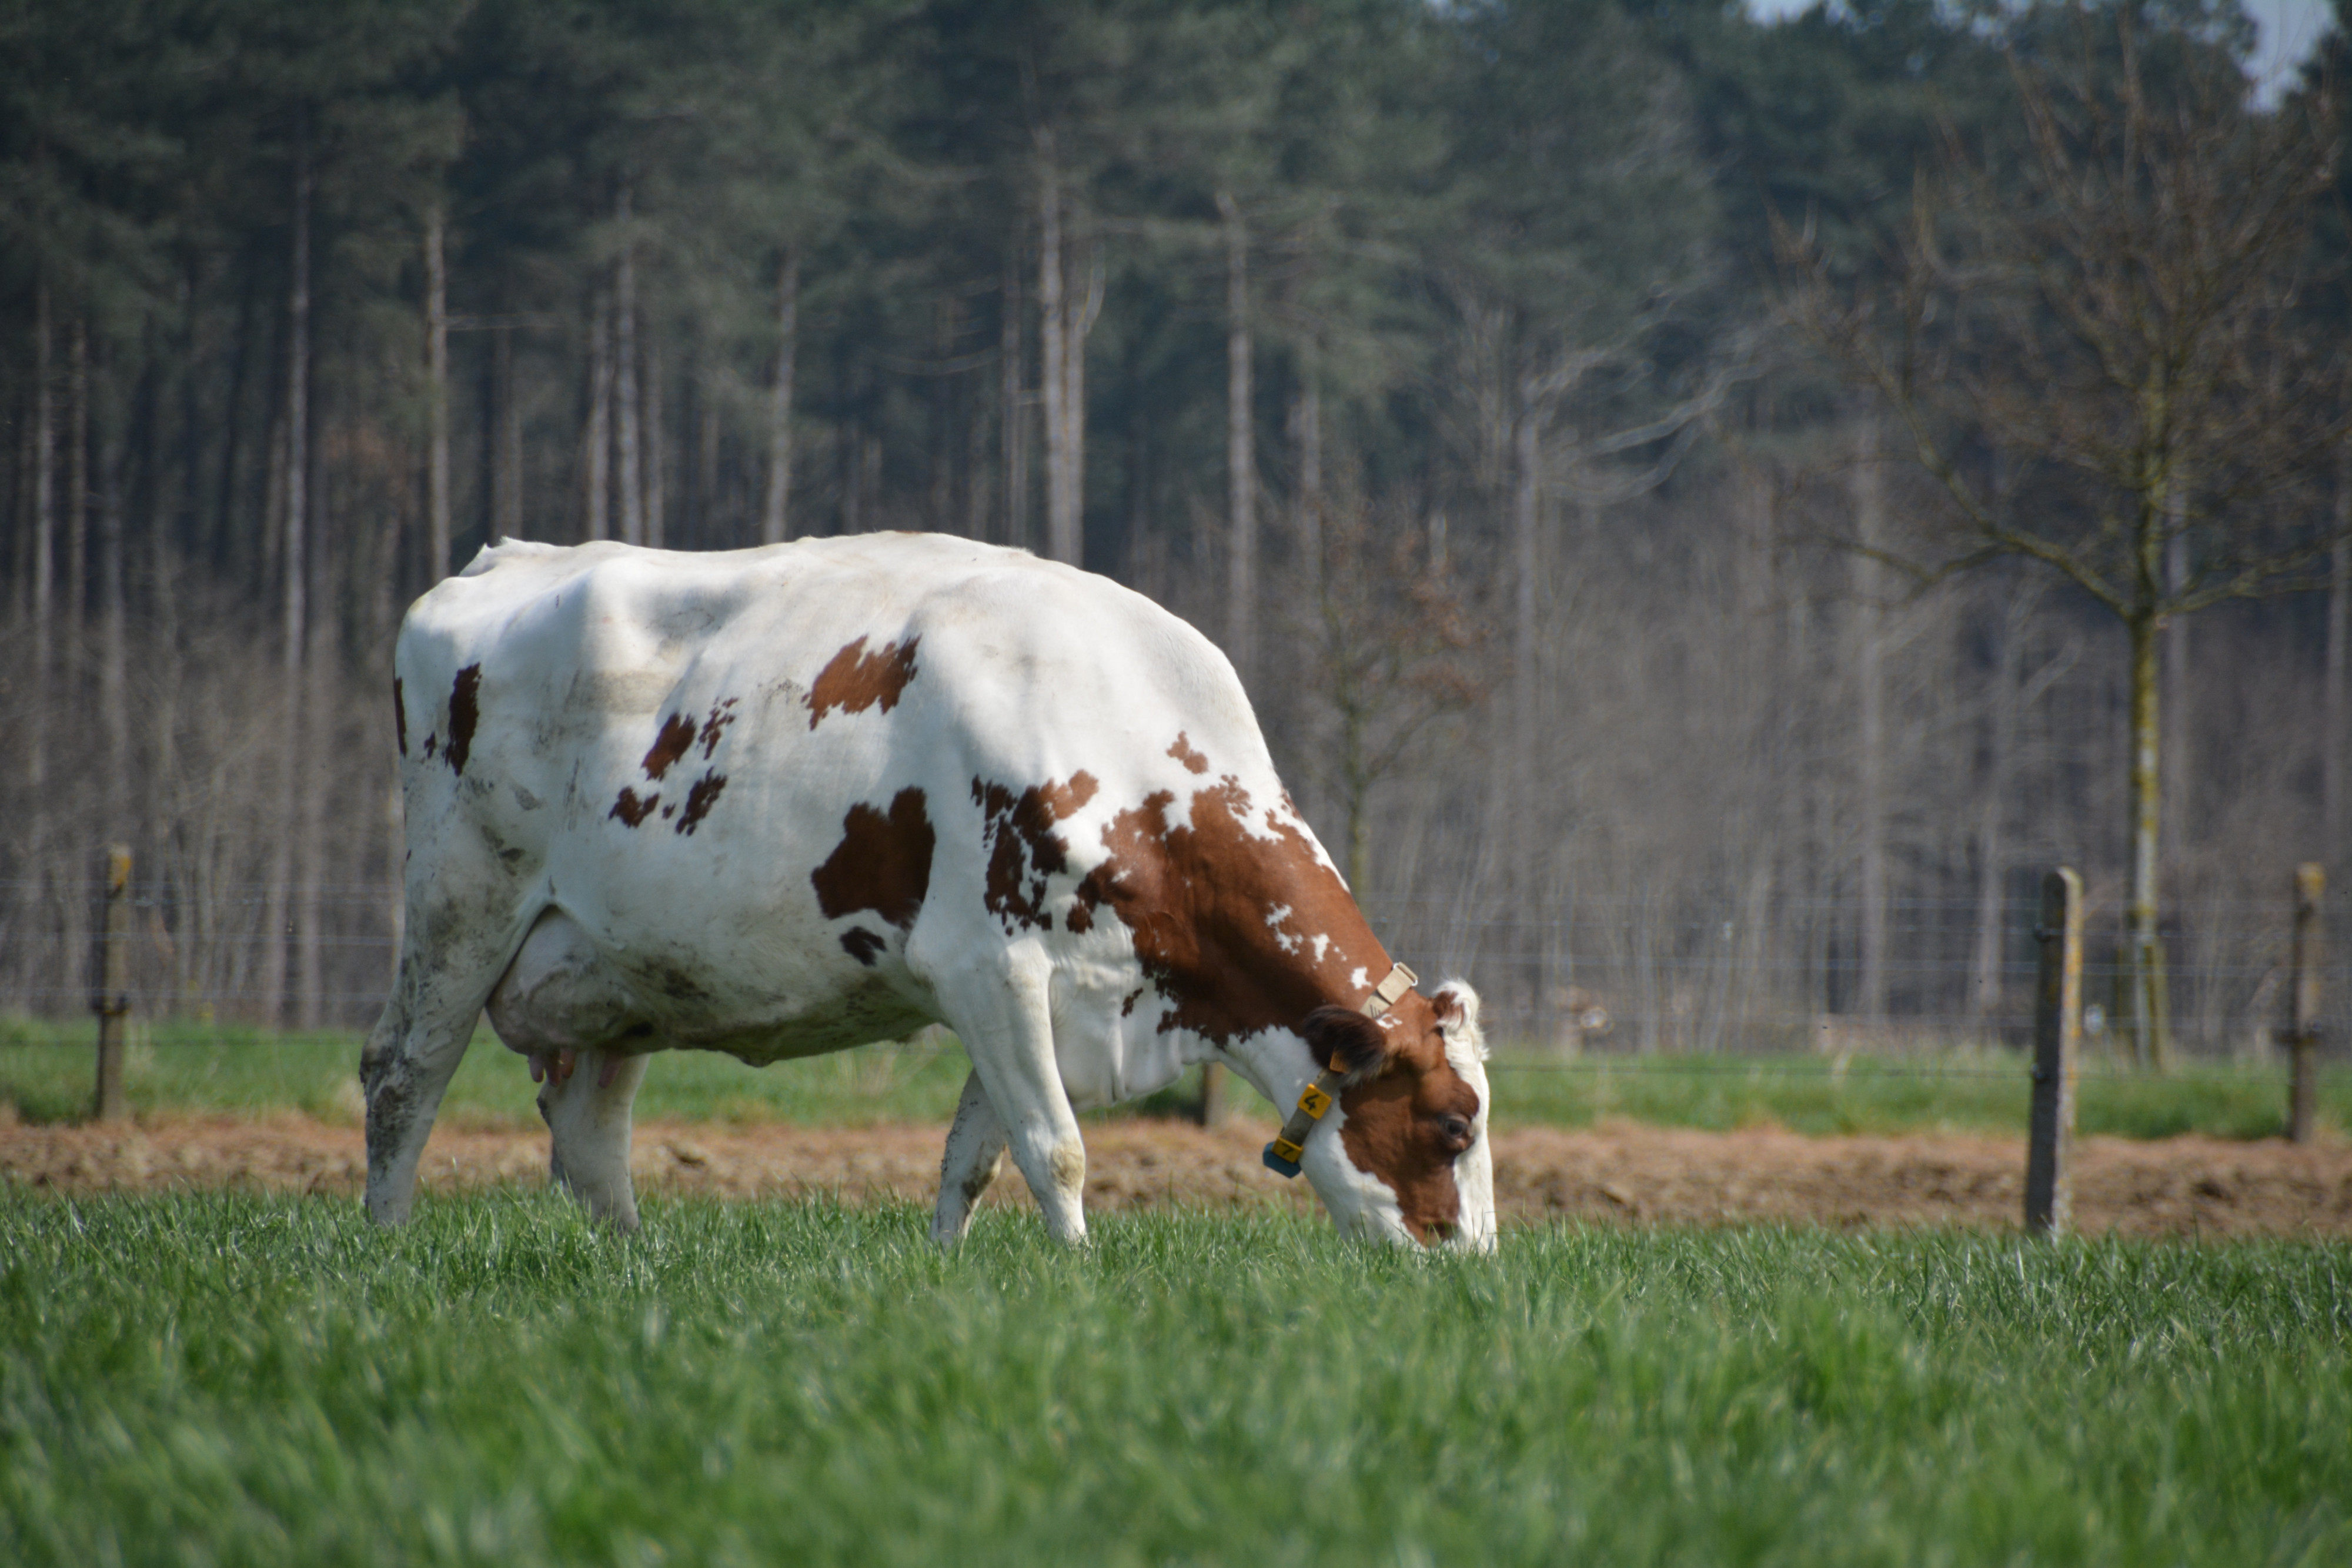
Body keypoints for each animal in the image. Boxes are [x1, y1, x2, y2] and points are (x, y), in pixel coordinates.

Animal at [358, 536, 1496, 1251]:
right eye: (1453, 1126)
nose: (1473, 1269)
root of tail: (503, 560)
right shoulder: (985, 963)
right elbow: (1056, 1149)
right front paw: (1082, 1275)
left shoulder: (1039, 994)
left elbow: (974, 1160)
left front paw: (952, 1270)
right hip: (462, 904)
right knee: (402, 1074)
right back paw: (391, 1241)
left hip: (619, 970)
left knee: (591, 1135)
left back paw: (636, 1263)